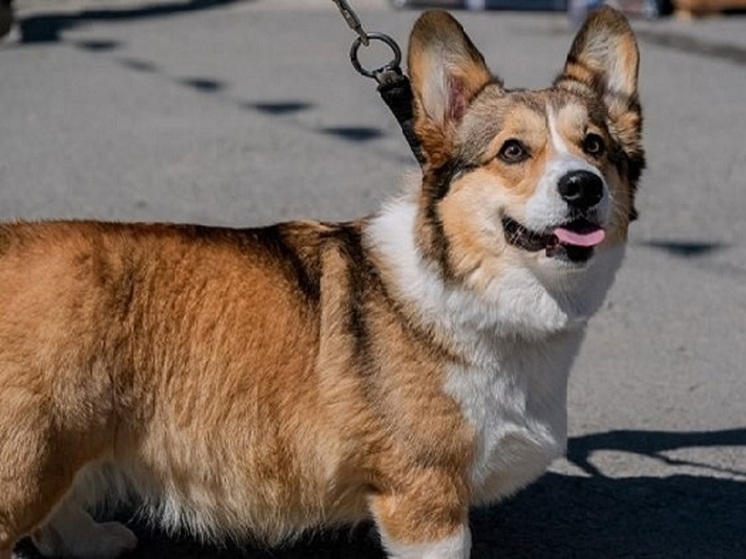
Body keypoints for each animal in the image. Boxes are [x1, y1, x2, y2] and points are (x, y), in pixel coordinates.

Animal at [0, 7, 640, 559]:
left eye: (595, 146)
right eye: (512, 150)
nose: (582, 186)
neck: (471, 286)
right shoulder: (425, 502)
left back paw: (92, 539)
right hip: (29, 461)